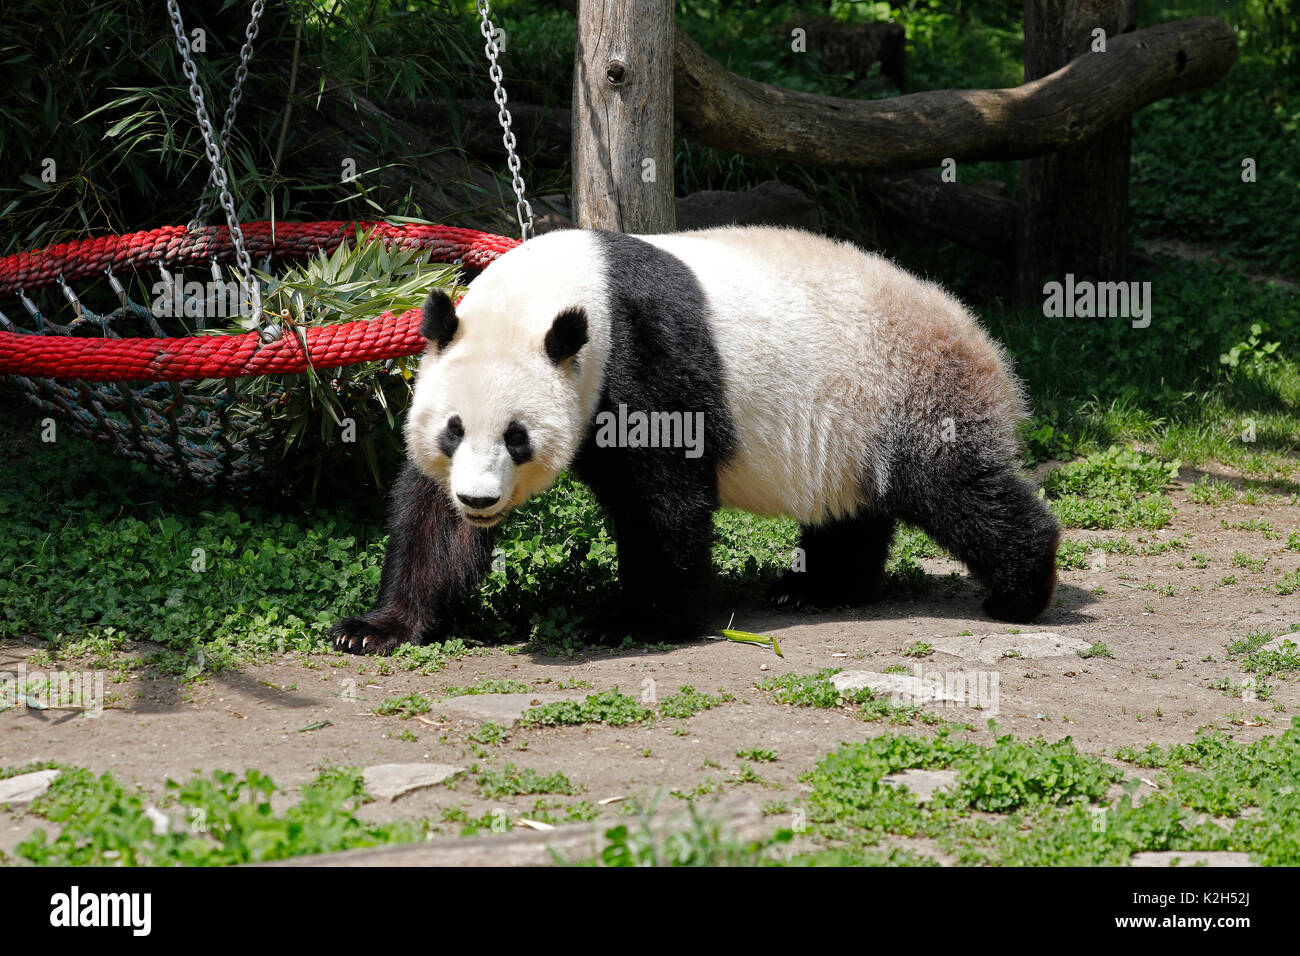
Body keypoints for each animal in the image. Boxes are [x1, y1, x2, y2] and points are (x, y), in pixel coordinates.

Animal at [330, 227, 1060, 655]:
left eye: (518, 438)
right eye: (453, 432)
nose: (480, 500)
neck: (554, 294)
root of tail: (977, 334)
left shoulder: (642, 355)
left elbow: (662, 501)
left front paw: (635, 620)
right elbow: (430, 518)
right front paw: (373, 629)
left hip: (909, 393)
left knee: (959, 491)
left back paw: (1020, 592)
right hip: (853, 424)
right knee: (849, 511)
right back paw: (819, 589)